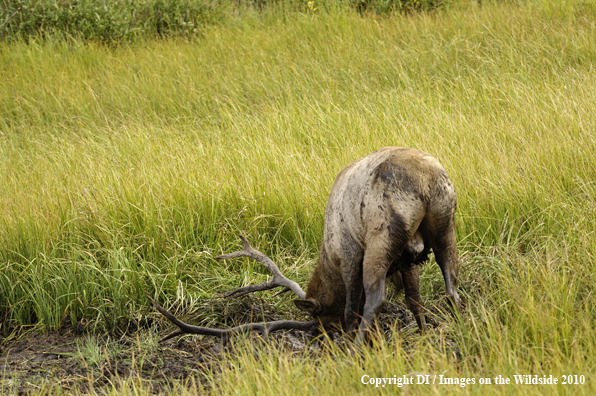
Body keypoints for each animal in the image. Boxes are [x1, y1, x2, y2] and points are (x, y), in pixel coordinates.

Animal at [149, 147, 460, 344]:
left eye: (326, 323)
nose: (322, 338)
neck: (328, 255)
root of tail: (424, 180)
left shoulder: (348, 253)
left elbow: (352, 307)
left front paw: (352, 337)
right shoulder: (408, 259)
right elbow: (414, 300)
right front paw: (423, 336)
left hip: (381, 237)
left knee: (375, 298)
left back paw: (357, 347)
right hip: (446, 225)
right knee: (452, 285)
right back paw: (460, 326)